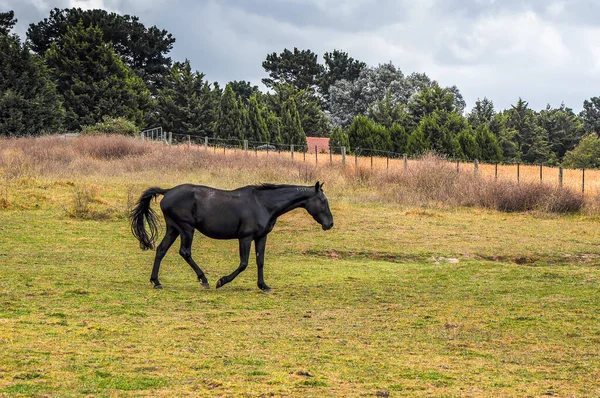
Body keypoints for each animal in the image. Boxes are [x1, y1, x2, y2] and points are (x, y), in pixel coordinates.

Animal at [130, 182, 332, 290]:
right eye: (323, 201)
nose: (330, 224)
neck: (263, 204)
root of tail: (167, 192)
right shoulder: (245, 237)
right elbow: (243, 263)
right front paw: (222, 281)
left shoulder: (261, 237)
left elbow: (260, 261)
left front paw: (263, 286)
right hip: (186, 228)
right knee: (185, 252)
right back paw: (204, 279)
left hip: (173, 228)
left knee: (161, 250)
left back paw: (156, 282)